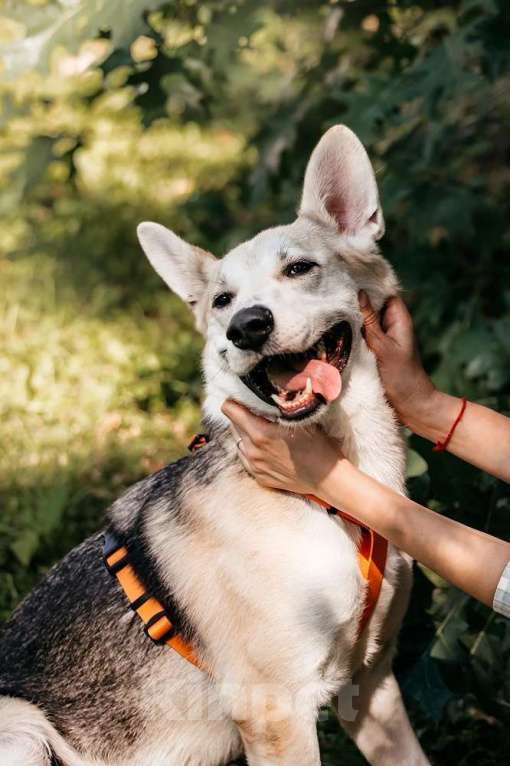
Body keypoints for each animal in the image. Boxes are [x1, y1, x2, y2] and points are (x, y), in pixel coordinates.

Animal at [0, 127, 430, 766]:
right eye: (222, 301)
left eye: (299, 268)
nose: (247, 326)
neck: (329, 499)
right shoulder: (275, 712)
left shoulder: (370, 684)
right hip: (24, 726)